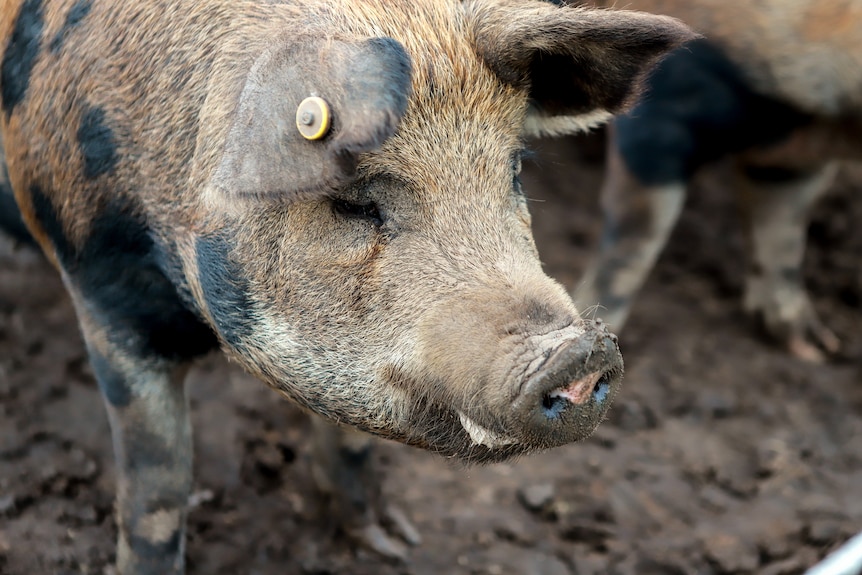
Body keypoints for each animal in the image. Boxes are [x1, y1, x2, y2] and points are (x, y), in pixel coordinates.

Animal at [0, 0, 692, 572]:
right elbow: (157, 488)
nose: (577, 353)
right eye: (353, 202)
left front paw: (390, 543)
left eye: (515, 169)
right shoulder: (99, 291)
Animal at [572, 0, 862, 362]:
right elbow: (636, 236)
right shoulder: (665, 105)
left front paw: (814, 351)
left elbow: (783, 235)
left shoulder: (789, 162)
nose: (830, 351)